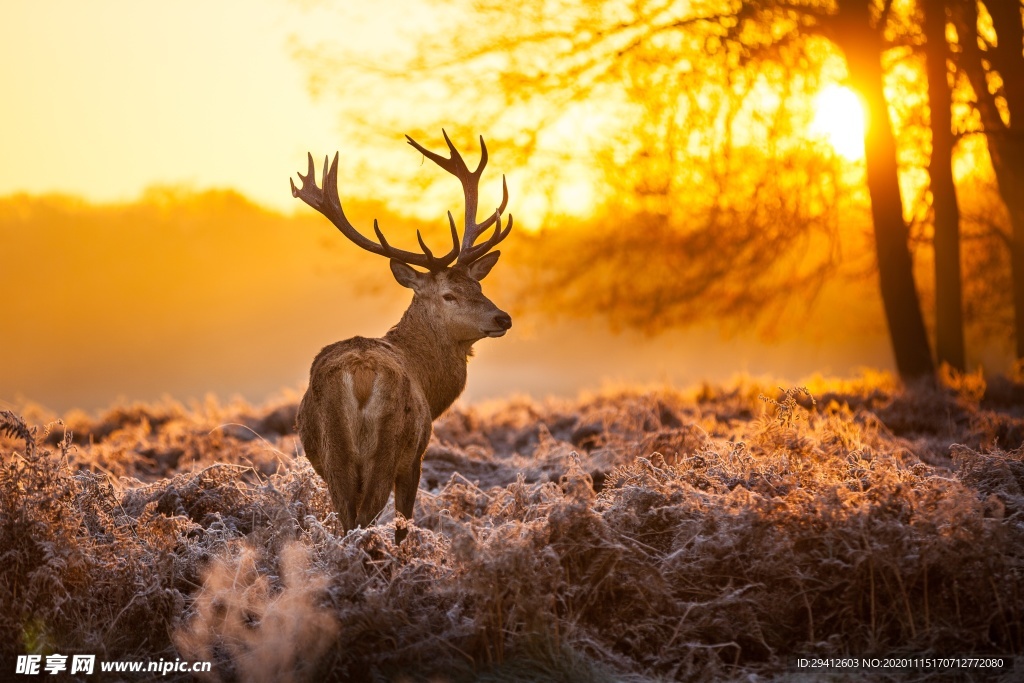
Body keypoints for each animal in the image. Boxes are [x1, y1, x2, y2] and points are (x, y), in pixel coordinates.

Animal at [288, 131, 512, 540]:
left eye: (478, 285)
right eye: (449, 294)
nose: (503, 318)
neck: (430, 383)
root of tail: (360, 375)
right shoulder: (416, 456)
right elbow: (404, 521)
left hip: (333, 453)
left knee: (347, 519)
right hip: (389, 446)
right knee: (367, 517)